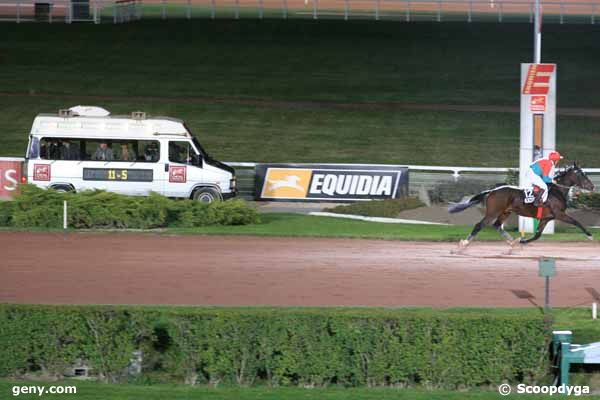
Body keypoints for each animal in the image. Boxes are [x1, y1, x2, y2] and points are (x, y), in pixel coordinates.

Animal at [450, 163, 596, 247]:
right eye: (581, 174)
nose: (592, 186)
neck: (557, 191)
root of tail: (492, 191)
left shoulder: (546, 218)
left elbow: (537, 235)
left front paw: (523, 241)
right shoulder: (559, 214)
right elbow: (576, 222)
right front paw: (590, 236)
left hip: (505, 212)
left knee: (497, 225)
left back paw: (512, 241)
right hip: (493, 212)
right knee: (479, 225)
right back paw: (465, 243)